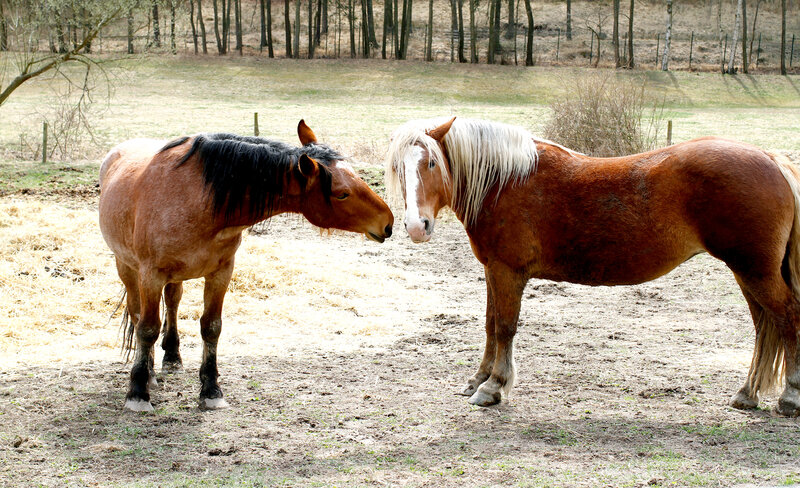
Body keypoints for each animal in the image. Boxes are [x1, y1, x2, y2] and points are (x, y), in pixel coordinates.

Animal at [99, 120, 394, 412]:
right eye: (342, 194)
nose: (387, 222)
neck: (197, 198)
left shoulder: (221, 273)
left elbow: (211, 327)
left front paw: (211, 390)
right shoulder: (150, 275)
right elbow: (147, 328)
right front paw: (138, 393)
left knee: (172, 302)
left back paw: (172, 358)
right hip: (127, 267)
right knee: (138, 314)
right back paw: (148, 373)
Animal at [385, 116, 800, 417]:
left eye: (432, 162)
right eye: (398, 169)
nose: (416, 226)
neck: (504, 181)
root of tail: (771, 159)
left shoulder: (507, 271)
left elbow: (504, 328)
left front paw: (493, 387)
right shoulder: (493, 270)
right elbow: (490, 325)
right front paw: (478, 380)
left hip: (756, 271)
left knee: (788, 317)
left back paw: (790, 397)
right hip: (747, 272)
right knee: (765, 326)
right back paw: (747, 394)